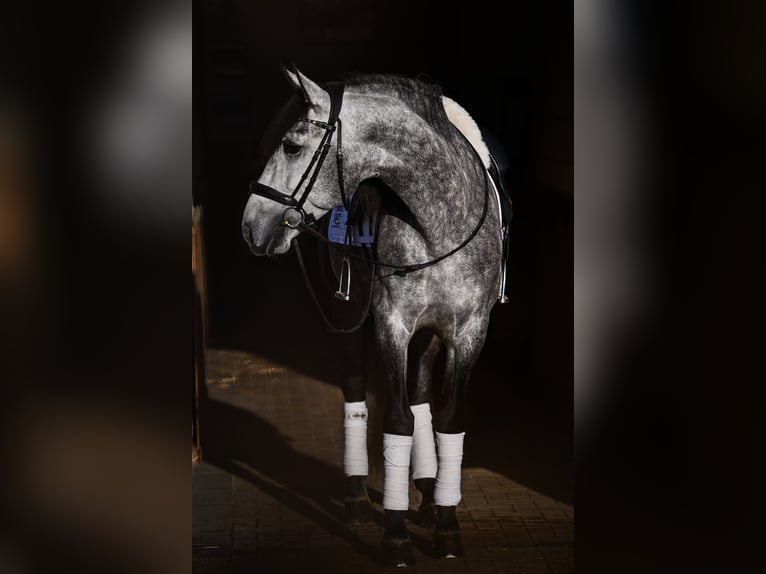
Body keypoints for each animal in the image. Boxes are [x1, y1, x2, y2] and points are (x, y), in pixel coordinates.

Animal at [242, 68, 506, 567]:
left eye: (292, 146)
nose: (250, 225)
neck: (442, 222)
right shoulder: (391, 325)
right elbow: (396, 420)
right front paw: (396, 535)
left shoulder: (468, 333)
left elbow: (448, 418)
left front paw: (445, 524)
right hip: (348, 312)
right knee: (355, 389)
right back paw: (358, 501)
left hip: (429, 334)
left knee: (420, 395)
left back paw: (427, 491)